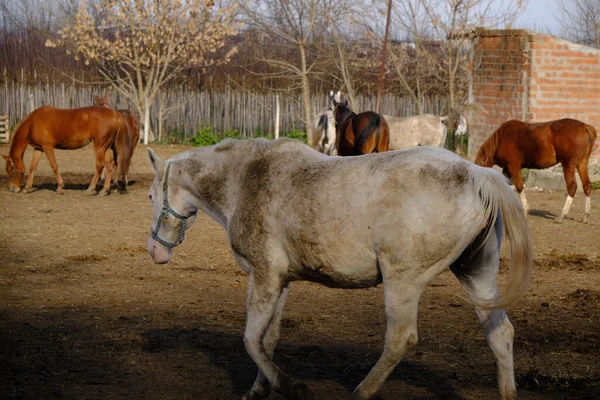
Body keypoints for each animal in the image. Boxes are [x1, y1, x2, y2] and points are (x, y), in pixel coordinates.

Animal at [148, 138, 532, 400]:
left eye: (152, 196)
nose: (155, 251)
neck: (244, 180)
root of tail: (476, 174)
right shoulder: (279, 281)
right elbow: (267, 340)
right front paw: (260, 390)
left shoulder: (264, 275)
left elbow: (251, 340)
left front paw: (291, 387)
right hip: (476, 275)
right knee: (500, 333)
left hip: (403, 281)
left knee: (400, 339)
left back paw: (362, 391)